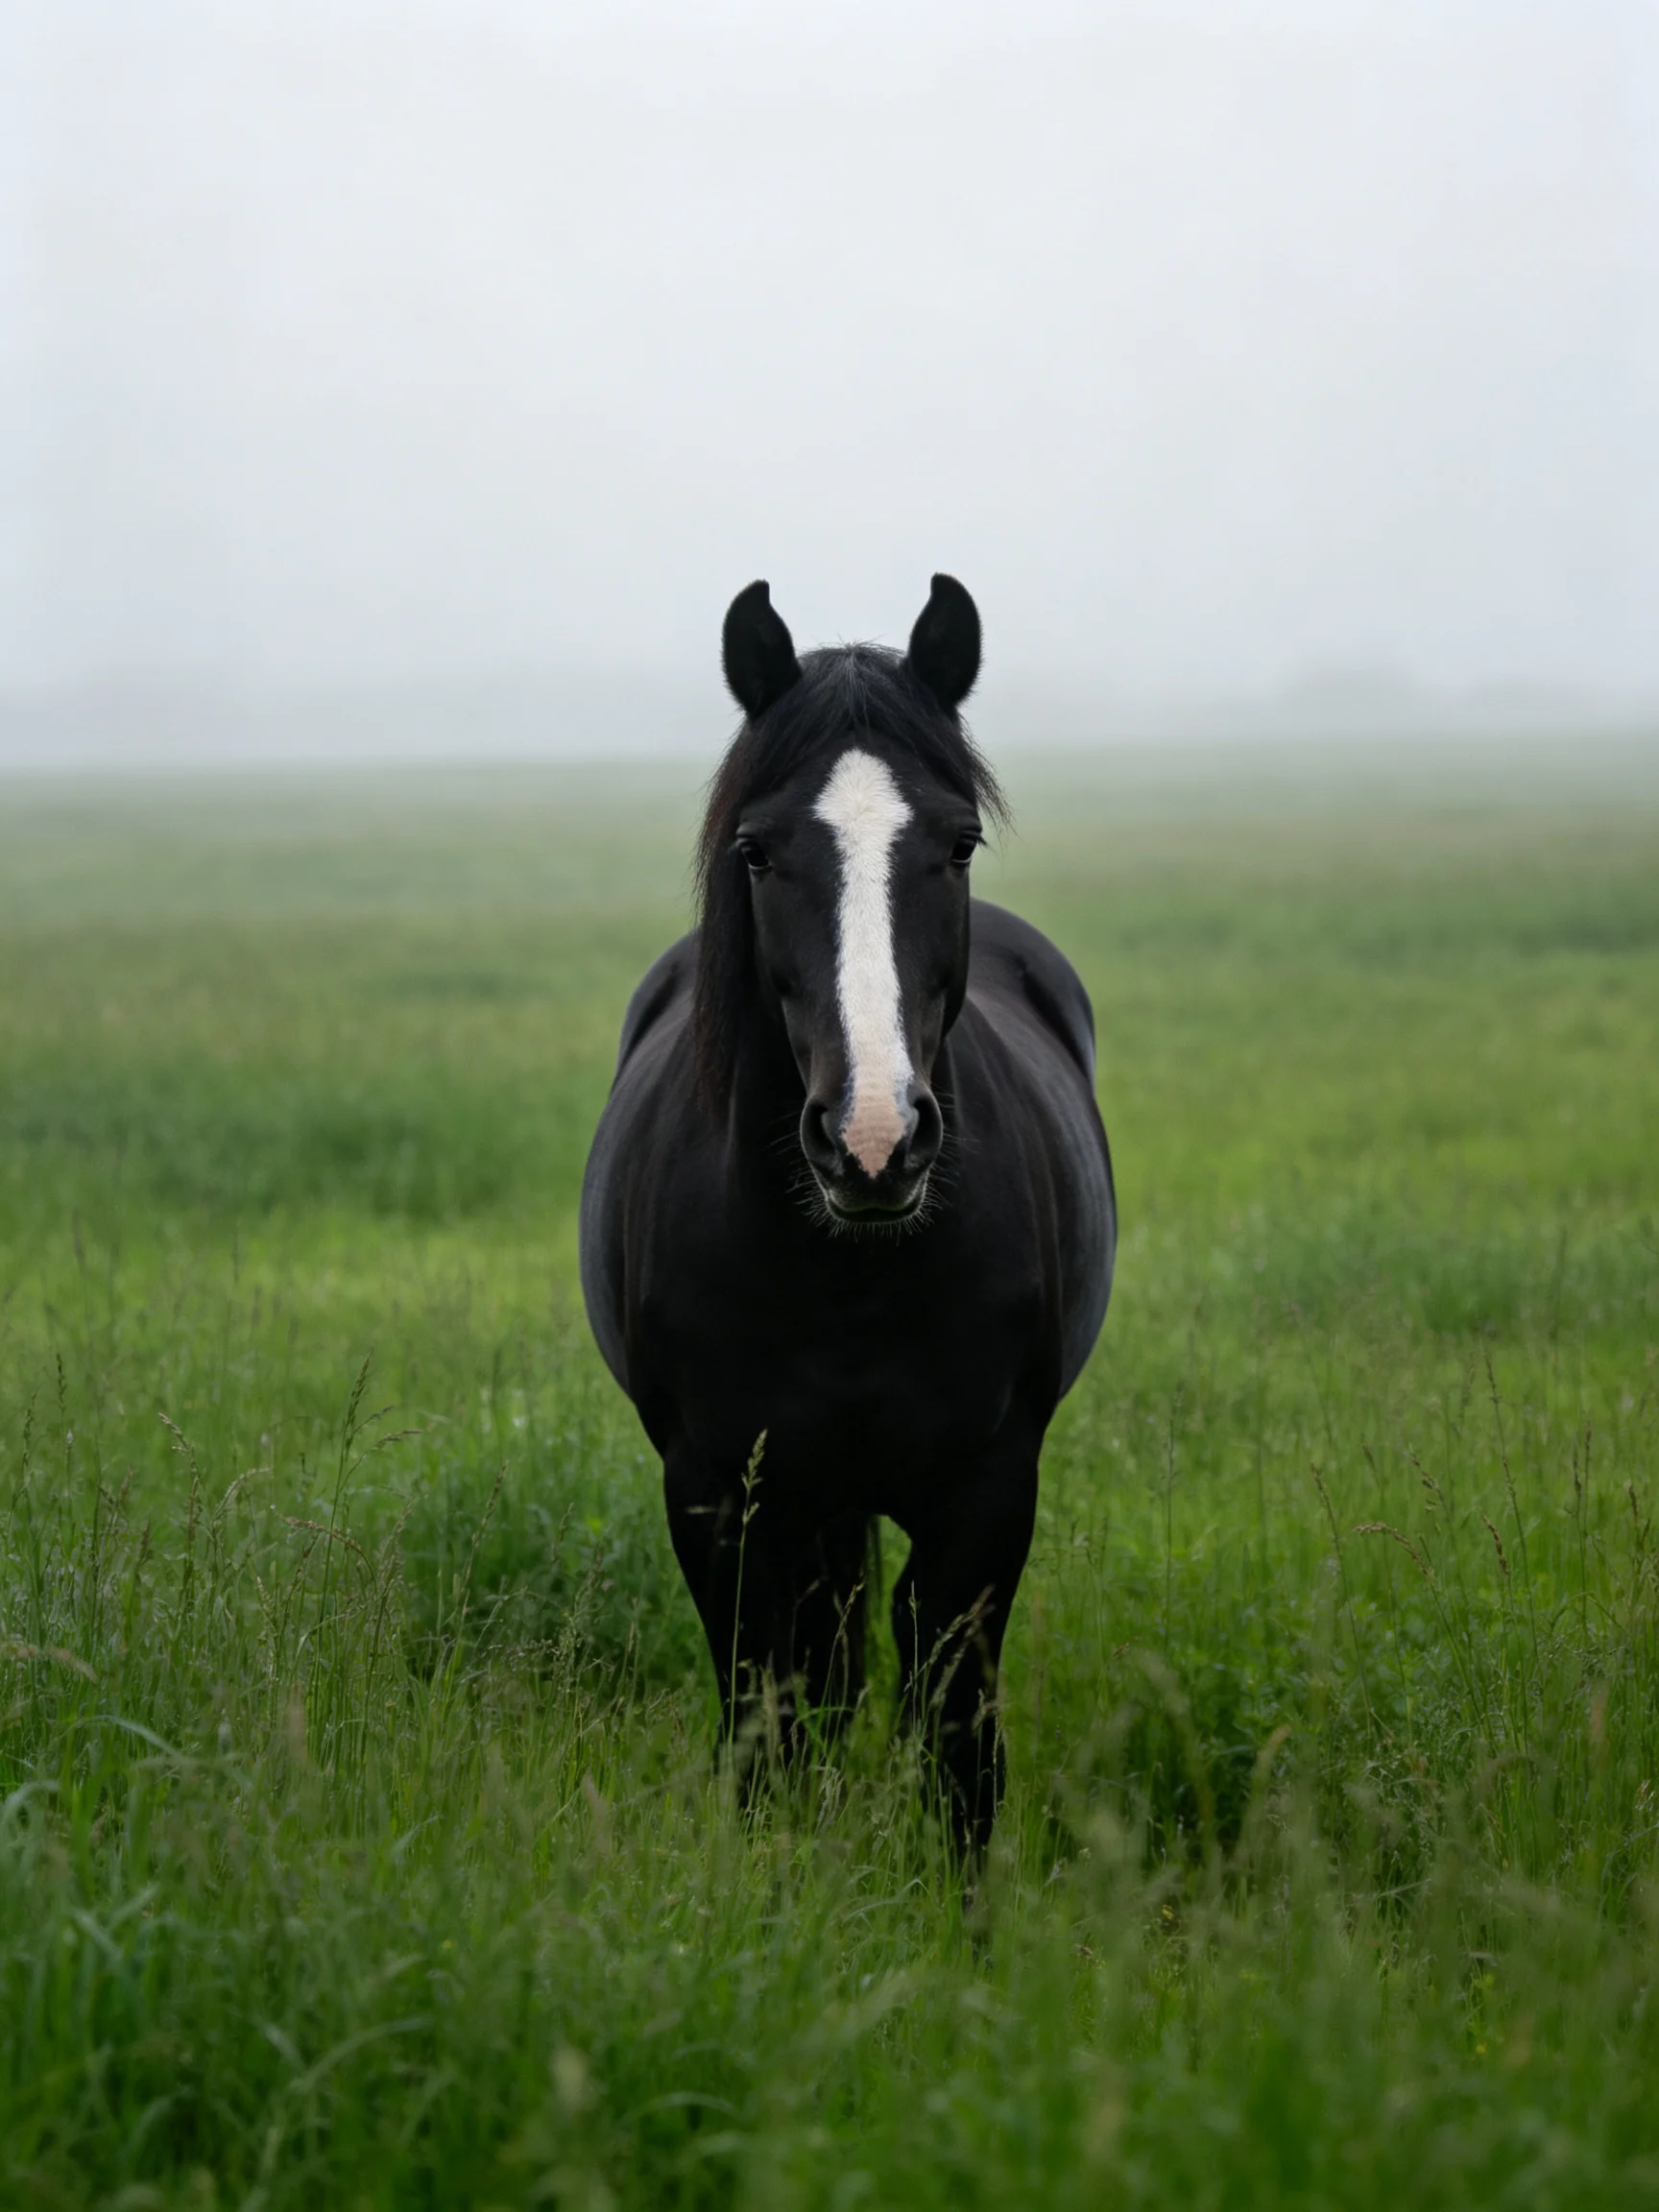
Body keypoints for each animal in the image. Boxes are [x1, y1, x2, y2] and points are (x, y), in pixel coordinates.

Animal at [579, 575, 1115, 1848]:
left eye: (959, 842)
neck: (848, 1276)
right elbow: (768, 1730)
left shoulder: (986, 1499)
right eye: (757, 851)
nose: (873, 1142)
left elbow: (960, 1750)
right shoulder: (718, 1501)